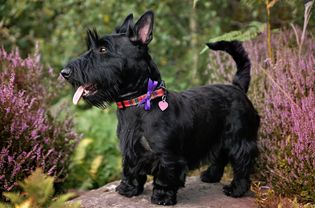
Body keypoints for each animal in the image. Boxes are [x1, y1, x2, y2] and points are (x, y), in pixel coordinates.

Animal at [60, 11, 260, 205]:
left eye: (103, 49)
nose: (64, 73)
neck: (138, 103)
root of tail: (237, 87)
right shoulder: (130, 151)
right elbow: (130, 170)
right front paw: (128, 188)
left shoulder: (168, 156)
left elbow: (165, 177)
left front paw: (162, 197)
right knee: (221, 156)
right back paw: (210, 176)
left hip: (239, 139)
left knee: (242, 164)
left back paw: (236, 189)